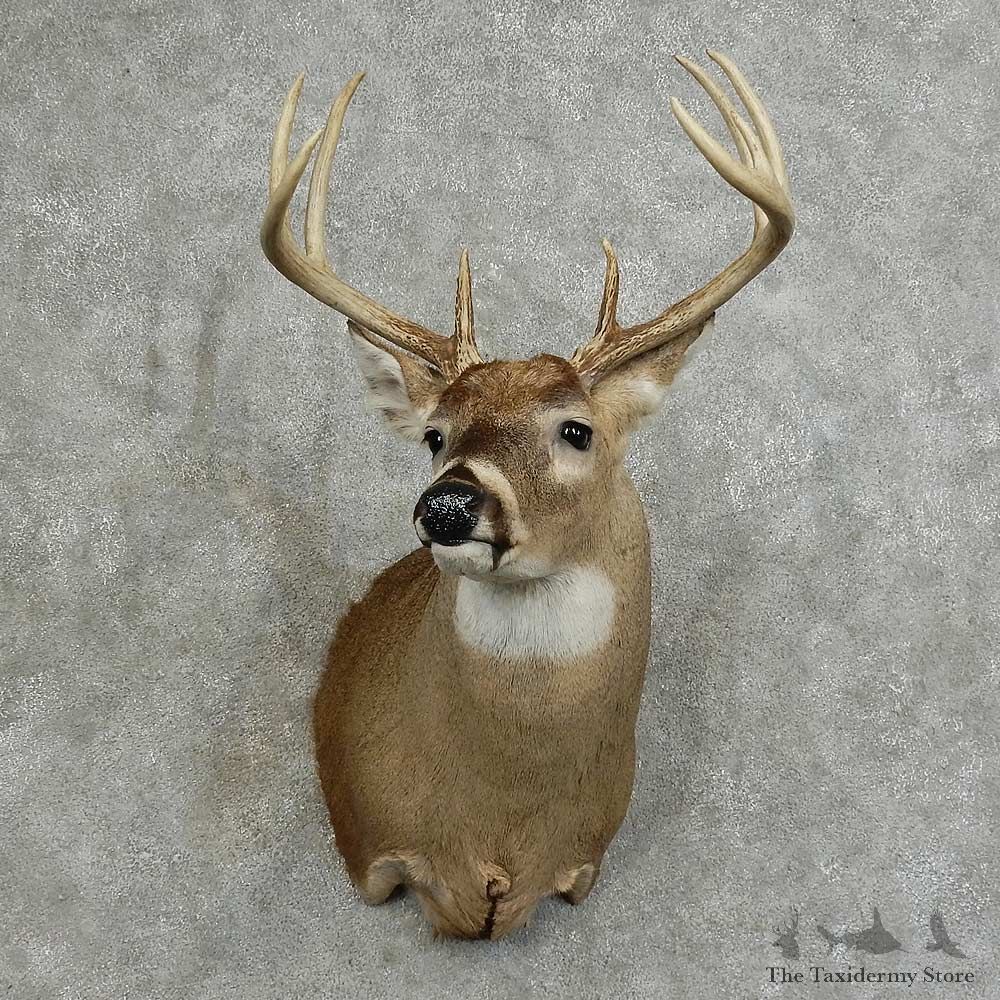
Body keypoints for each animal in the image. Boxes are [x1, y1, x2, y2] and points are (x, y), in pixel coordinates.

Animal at [260, 49, 794, 940]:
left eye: (576, 429)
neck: (501, 823)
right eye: (435, 434)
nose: (446, 505)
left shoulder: (581, 863)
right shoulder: (378, 852)